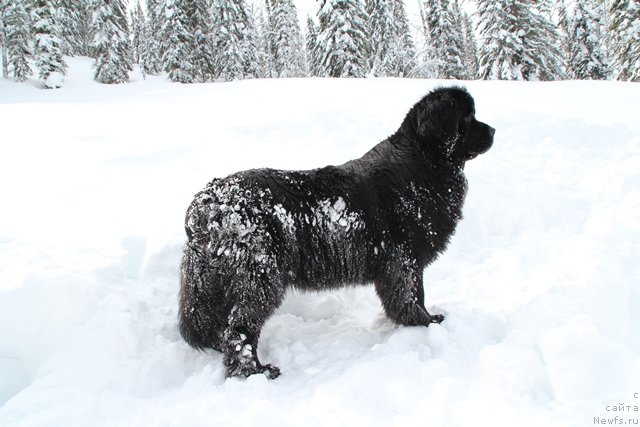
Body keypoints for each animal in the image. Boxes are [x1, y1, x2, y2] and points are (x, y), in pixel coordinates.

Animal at [179, 86, 496, 378]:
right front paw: (425, 323)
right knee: (240, 327)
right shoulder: (404, 260)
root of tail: (203, 204)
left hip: (215, 280)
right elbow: (411, 295)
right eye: (467, 118)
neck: (423, 163)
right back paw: (255, 370)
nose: (493, 129)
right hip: (259, 276)